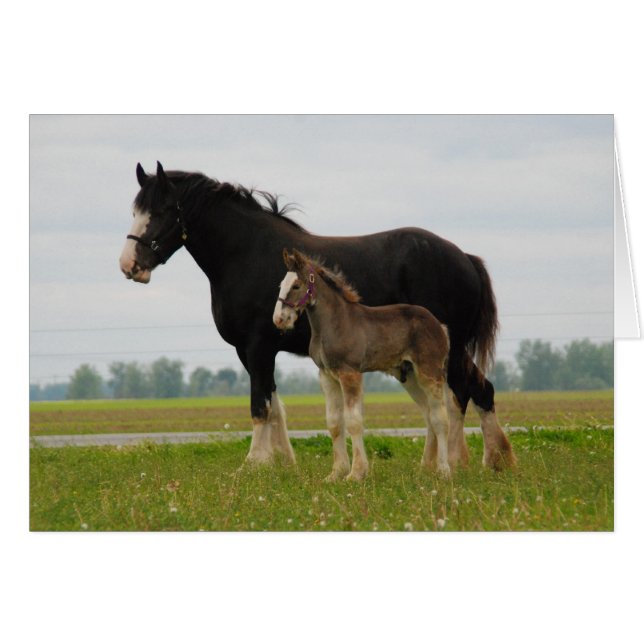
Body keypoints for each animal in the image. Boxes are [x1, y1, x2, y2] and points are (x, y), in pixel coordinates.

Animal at [274, 249, 452, 480]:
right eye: (281, 285)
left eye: (296, 286)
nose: (279, 319)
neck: (334, 324)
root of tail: (439, 326)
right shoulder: (327, 375)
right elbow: (334, 423)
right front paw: (336, 473)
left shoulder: (349, 373)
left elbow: (353, 421)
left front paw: (356, 473)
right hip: (410, 377)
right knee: (429, 415)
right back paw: (424, 469)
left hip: (429, 372)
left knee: (440, 418)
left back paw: (444, 470)